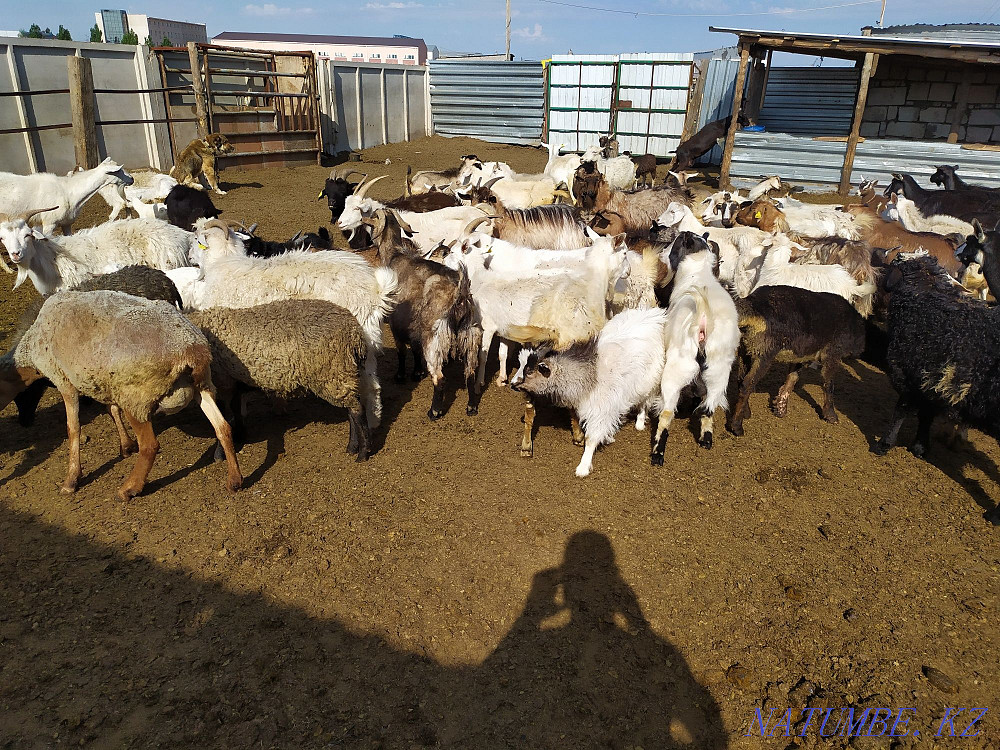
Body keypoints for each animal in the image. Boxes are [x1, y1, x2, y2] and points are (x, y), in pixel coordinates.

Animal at [0, 290, 242, 500]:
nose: (23, 423)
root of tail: (192, 350)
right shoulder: (105, 383)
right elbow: (111, 409)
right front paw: (126, 446)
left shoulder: (64, 380)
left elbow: (73, 429)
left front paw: (71, 480)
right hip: (203, 386)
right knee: (223, 427)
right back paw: (235, 480)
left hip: (137, 398)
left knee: (150, 446)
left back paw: (129, 489)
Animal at [727, 286, 866, 436]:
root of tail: (753, 304)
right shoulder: (833, 354)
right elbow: (829, 384)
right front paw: (831, 416)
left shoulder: (799, 354)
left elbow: (793, 377)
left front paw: (780, 408)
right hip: (764, 354)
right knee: (747, 384)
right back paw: (737, 427)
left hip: (745, 349)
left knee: (741, 380)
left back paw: (746, 413)